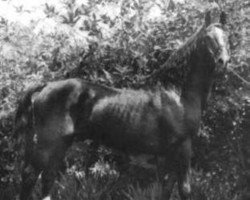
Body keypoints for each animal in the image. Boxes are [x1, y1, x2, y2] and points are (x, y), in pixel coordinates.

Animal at [15, 9, 229, 200]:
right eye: (208, 37)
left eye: (227, 36)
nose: (223, 61)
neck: (176, 92)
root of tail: (46, 86)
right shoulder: (183, 146)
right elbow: (184, 189)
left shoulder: (169, 153)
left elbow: (167, 189)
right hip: (46, 144)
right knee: (30, 176)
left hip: (60, 144)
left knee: (47, 178)